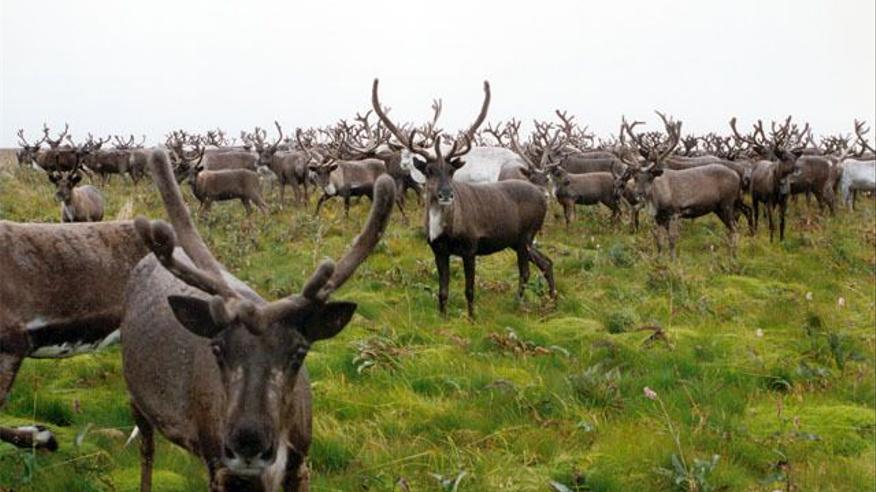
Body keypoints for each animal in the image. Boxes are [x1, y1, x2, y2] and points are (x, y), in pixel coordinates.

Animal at [120, 148, 395, 491]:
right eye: (217, 349)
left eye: (299, 351)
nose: (247, 442)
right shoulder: (219, 469)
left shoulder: (301, 465)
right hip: (136, 396)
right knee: (147, 449)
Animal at [372, 78, 556, 318]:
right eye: (429, 170)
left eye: (451, 170)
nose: (446, 194)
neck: (445, 227)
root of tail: (541, 195)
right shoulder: (438, 250)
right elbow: (443, 291)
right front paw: (443, 317)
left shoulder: (470, 248)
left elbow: (469, 289)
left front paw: (471, 317)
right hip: (516, 241)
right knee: (546, 262)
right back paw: (553, 299)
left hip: (525, 236)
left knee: (525, 271)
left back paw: (519, 303)